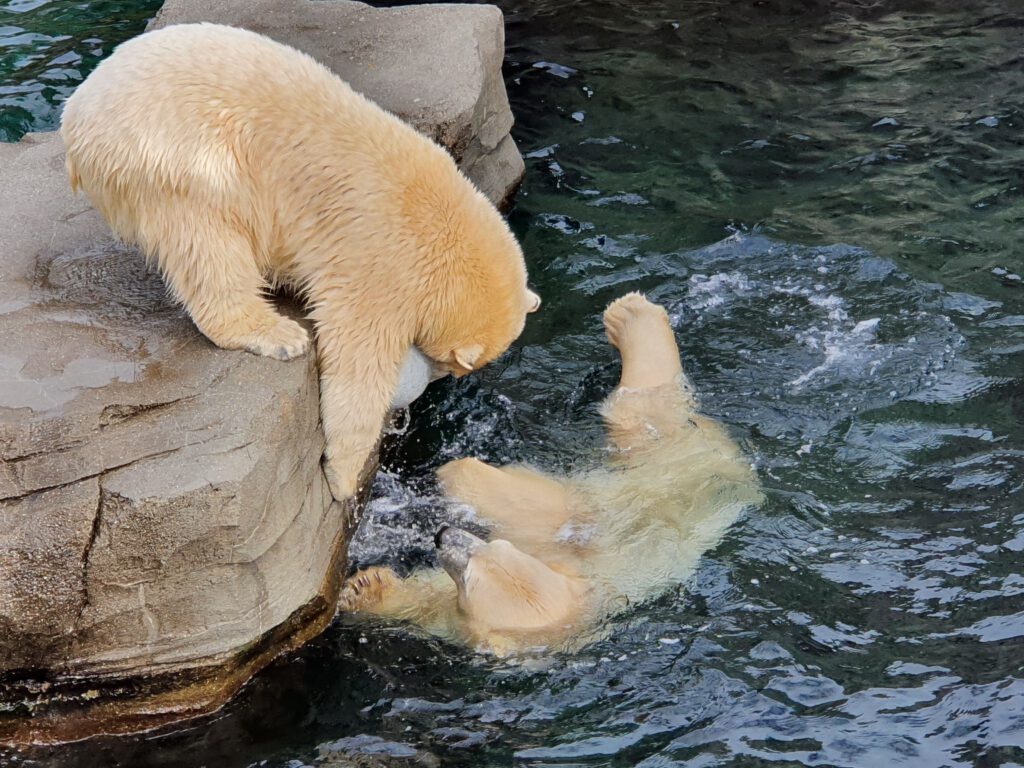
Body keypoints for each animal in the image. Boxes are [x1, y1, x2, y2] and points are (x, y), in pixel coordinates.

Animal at [59, 22, 540, 499]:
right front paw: (343, 477)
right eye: (455, 366)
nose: (445, 379)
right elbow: (356, 363)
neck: (443, 229)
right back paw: (277, 334)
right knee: (208, 243)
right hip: (178, 158)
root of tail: (77, 114)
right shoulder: (379, 262)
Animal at [339, 294, 765, 655]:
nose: (443, 535)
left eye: (472, 578)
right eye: (498, 548)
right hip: (642, 469)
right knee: (637, 413)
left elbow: (427, 605)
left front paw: (361, 589)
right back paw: (631, 314)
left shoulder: (467, 622)